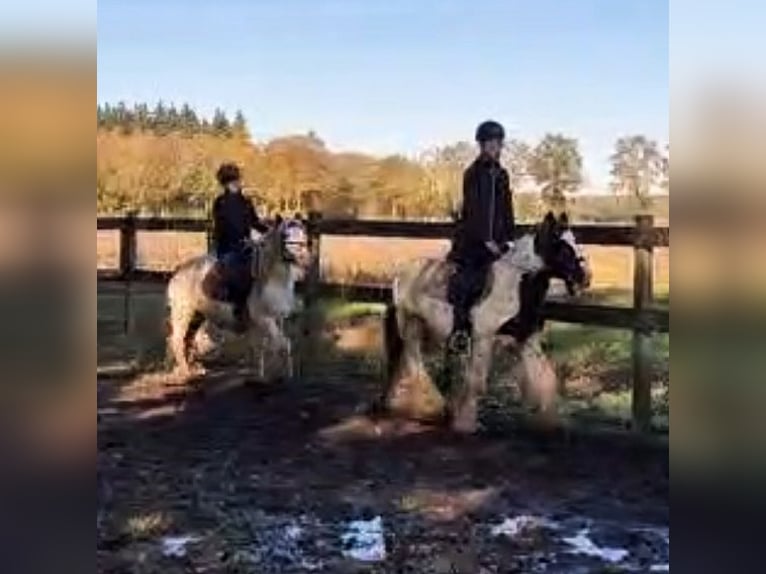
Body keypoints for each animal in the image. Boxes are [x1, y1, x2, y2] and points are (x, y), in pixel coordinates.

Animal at [166, 215, 310, 378]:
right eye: (285, 236)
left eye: (303, 234)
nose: (304, 258)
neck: (272, 278)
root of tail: (178, 272)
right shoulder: (264, 319)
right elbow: (282, 344)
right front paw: (284, 375)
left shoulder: (276, 319)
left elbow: (265, 346)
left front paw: (262, 373)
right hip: (183, 313)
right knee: (177, 340)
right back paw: (185, 371)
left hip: (197, 315)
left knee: (188, 339)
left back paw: (192, 368)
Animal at [384, 214, 592, 434]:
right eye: (562, 248)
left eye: (574, 242)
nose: (586, 278)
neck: (515, 286)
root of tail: (400, 274)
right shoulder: (484, 337)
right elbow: (477, 382)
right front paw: (465, 423)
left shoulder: (526, 339)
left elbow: (545, 378)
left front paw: (549, 422)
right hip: (410, 325)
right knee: (414, 364)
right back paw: (429, 406)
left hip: (424, 329)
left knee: (406, 362)